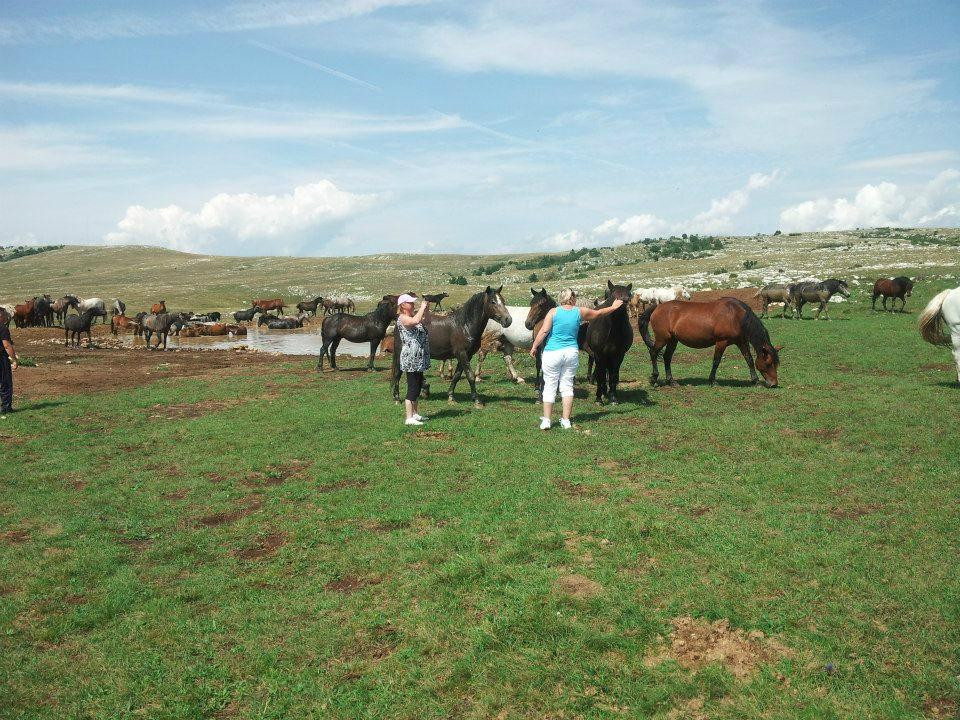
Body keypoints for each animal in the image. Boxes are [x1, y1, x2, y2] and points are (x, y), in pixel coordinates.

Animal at [636, 298, 780, 388]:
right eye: (768, 363)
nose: (774, 383)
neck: (735, 315)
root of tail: (657, 307)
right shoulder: (721, 342)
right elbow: (716, 361)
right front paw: (713, 381)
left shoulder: (741, 341)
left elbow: (749, 359)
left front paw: (756, 381)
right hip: (662, 339)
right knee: (653, 353)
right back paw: (654, 379)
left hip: (672, 340)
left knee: (667, 357)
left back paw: (671, 381)